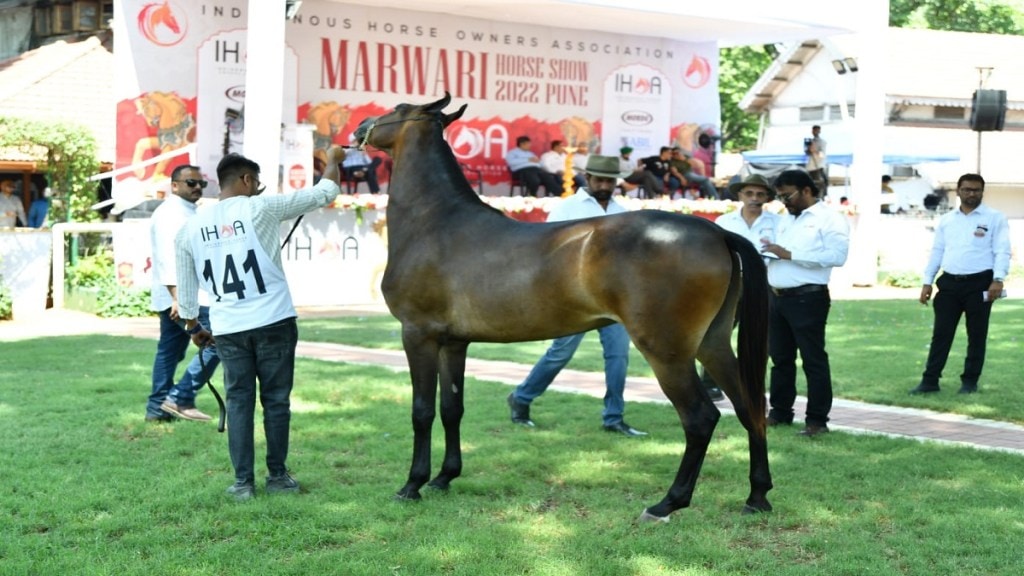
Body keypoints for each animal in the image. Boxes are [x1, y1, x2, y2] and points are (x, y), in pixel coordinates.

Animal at [352, 91, 770, 518]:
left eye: (396, 109)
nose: (359, 126)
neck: (435, 221)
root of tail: (716, 231)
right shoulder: (454, 342)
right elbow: (452, 408)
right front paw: (444, 478)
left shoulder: (417, 334)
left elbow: (421, 411)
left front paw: (413, 484)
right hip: (712, 344)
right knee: (749, 407)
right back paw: (757, 496)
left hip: (667, 351)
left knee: (701, 418)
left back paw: (668, 503)